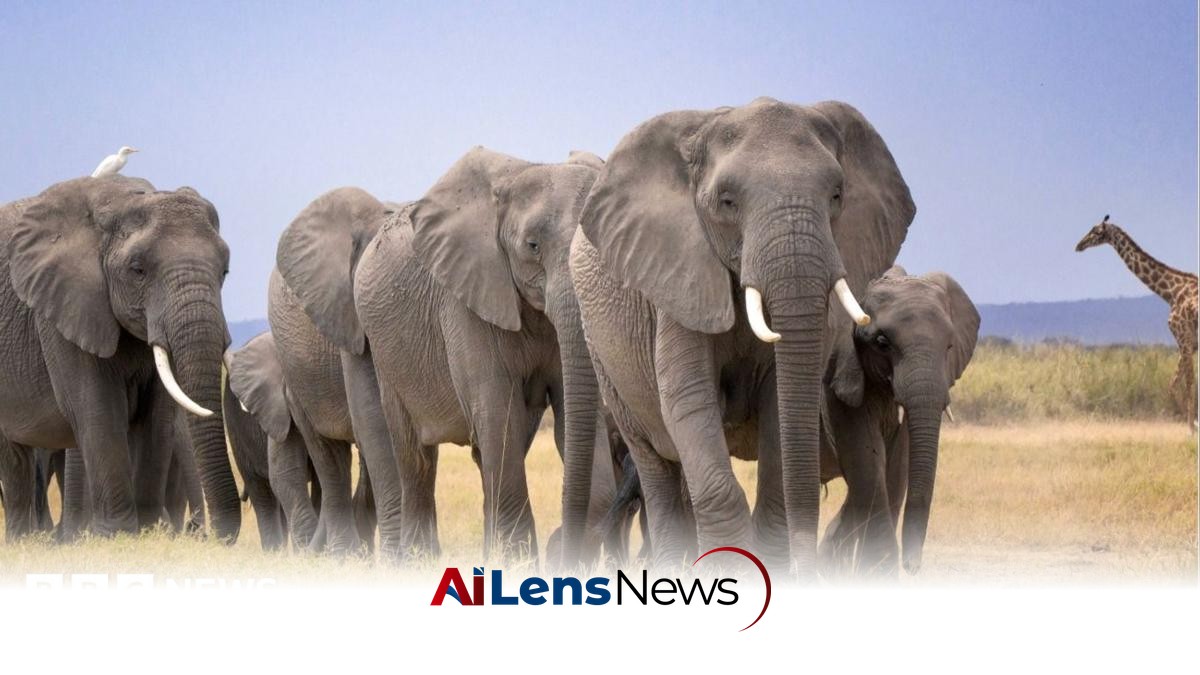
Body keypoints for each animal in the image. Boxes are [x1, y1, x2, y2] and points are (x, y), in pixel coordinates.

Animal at [0, 175, 240, 540]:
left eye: (224, 271)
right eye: (138, 270)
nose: (206, 534)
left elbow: (157, 418)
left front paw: (149, 532)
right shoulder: (64, 309)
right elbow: (98, 410)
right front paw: (118, 535)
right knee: (14, 459)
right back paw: (23, 541)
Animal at [274, 148, 616, 564]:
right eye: (533, 246)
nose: (561, 548)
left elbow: (575, 412)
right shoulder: (463, 302)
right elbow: (496, 414)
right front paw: (518, 563)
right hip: (380, 346)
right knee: (409, 455)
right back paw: (411, 561)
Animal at [570, 98, 915, 575]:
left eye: (837, 195)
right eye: (727, 201)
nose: (806, 569)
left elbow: (779, 405)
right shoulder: (677, 275)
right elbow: (689, 399)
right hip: (605, 361)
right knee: (657, 464)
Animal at [821, 266, 979, 575]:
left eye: (949, 346)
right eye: (882, 343)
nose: (912, 566)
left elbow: (896, 468)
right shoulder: (839, 383)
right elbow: (869, 465)